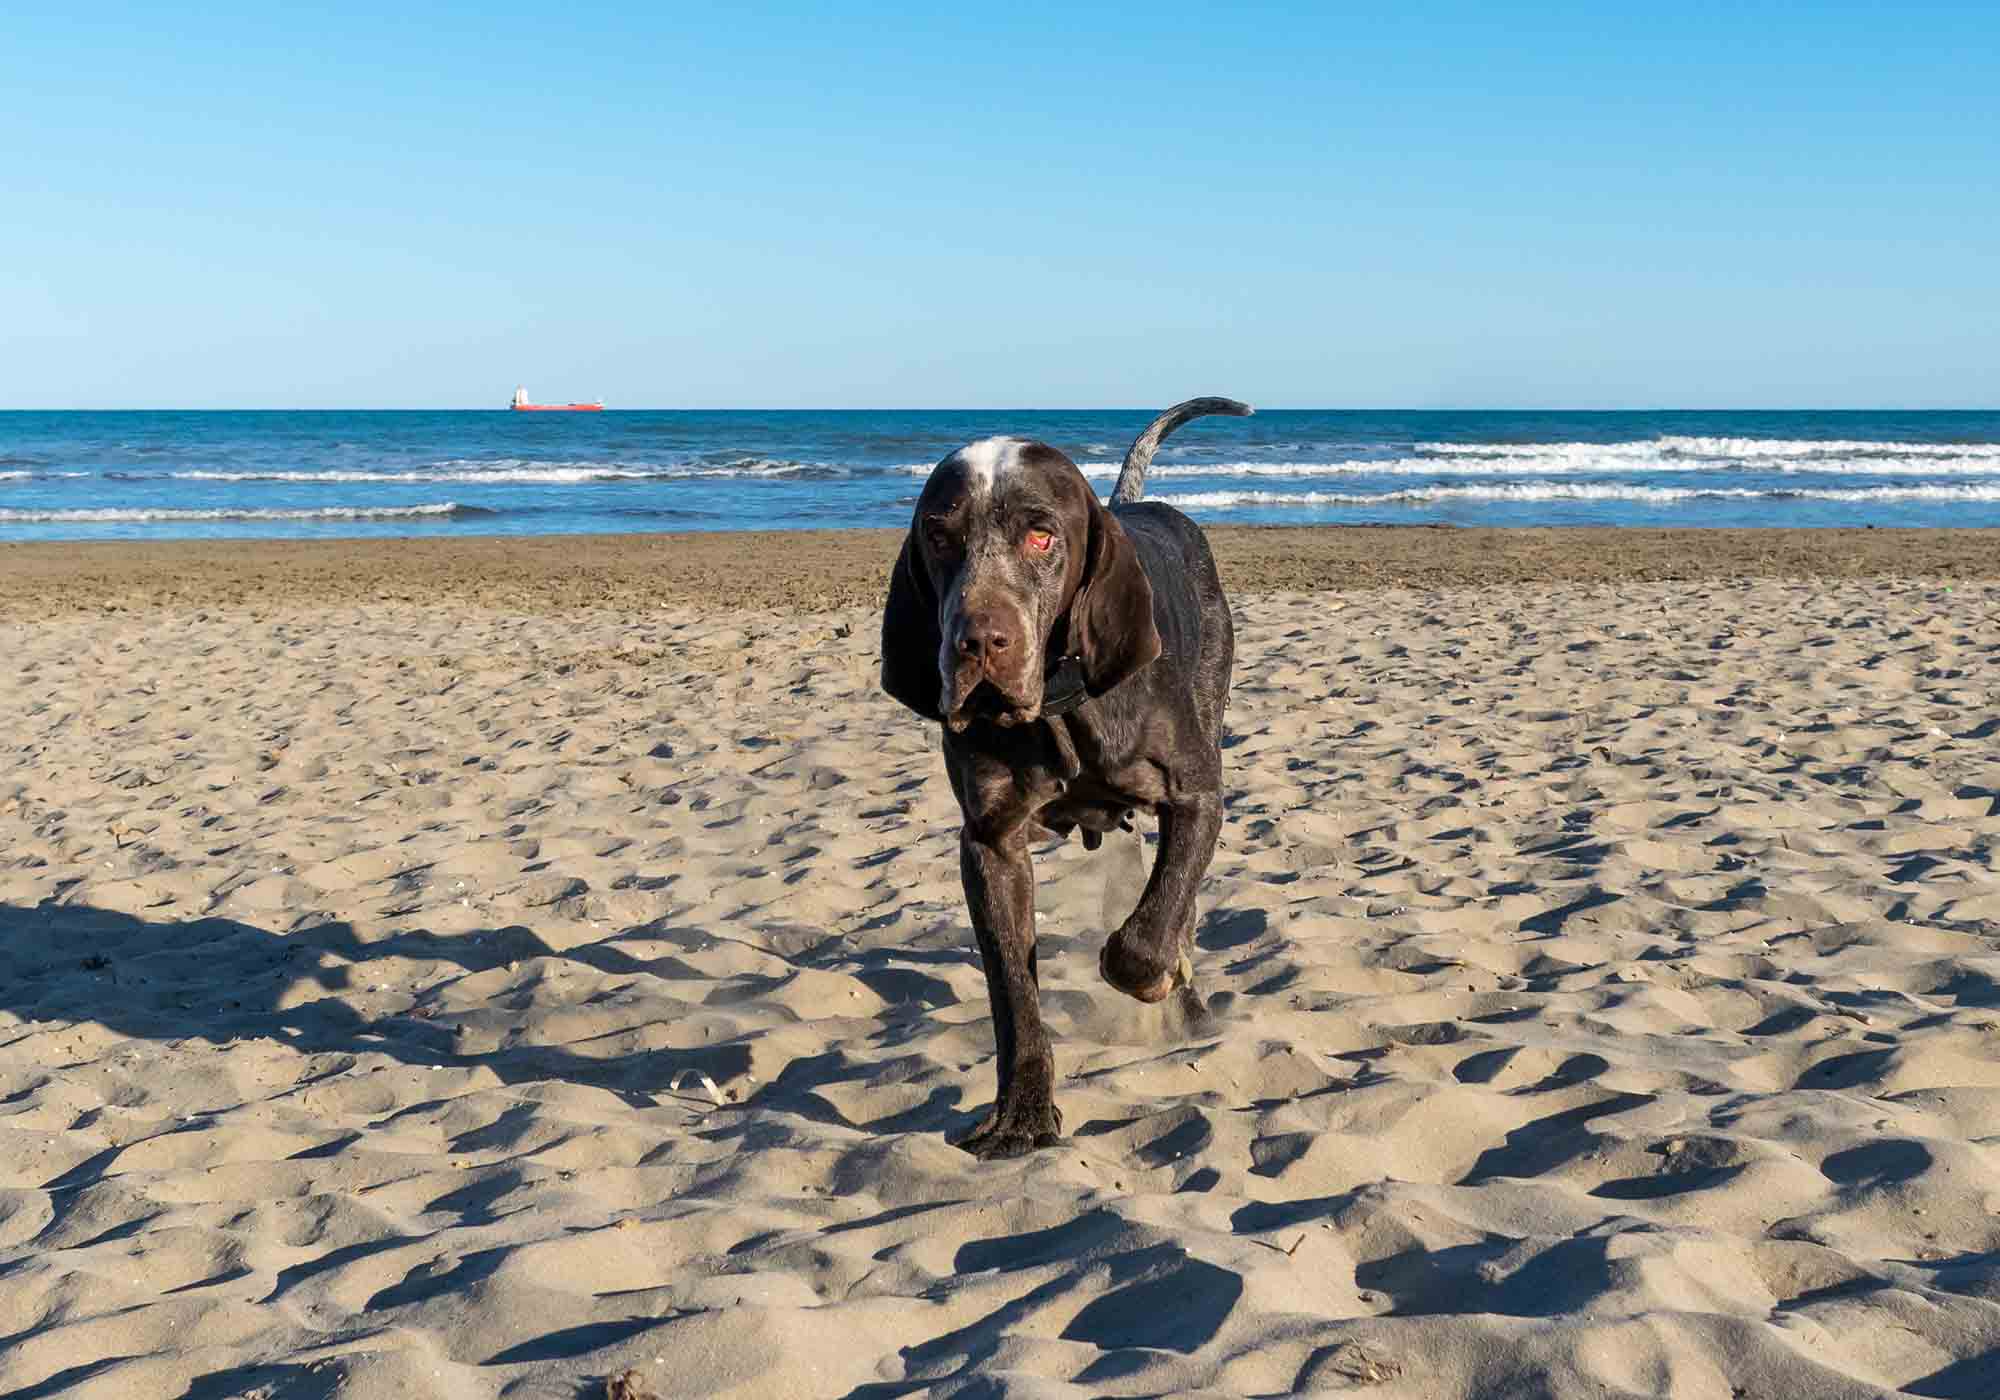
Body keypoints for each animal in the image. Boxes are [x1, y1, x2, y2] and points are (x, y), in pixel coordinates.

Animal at [880, 396, 1248, 1160]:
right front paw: (1020, 1114)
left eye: (1042, 535)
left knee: (1181, 910)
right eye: (940, 536)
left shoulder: (1197, 796)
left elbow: (1147, 934)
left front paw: (1154, 974)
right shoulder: (991, 846)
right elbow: (1014, 998)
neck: (1057, 706)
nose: (978, 642)